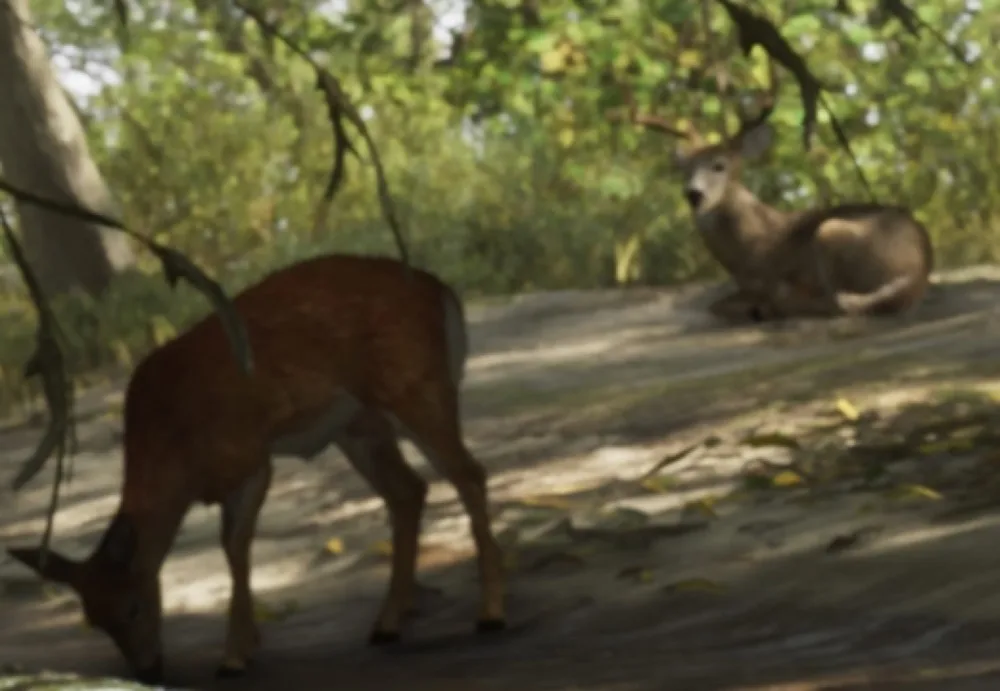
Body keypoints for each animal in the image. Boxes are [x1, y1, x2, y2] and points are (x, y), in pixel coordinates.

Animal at [5, 254, 507, 685]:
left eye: (133, 606)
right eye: (93, 619)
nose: (148, 672)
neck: (176, 452)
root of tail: (442, 292)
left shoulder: (249, 458)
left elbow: (234, 547)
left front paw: (234, 656)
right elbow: (235, 549)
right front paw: (249, 642)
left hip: (417, 385)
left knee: (469, 473)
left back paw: (490, 614)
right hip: (360, 424)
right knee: (408, 490)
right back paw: (388, 623)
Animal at [630, 94, 934, 323]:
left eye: (719, 165)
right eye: (685, 171)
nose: (694, 194)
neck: (750, 248)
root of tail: (918, 268)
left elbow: (723, 304)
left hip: (832, 230)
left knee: (839, 304)